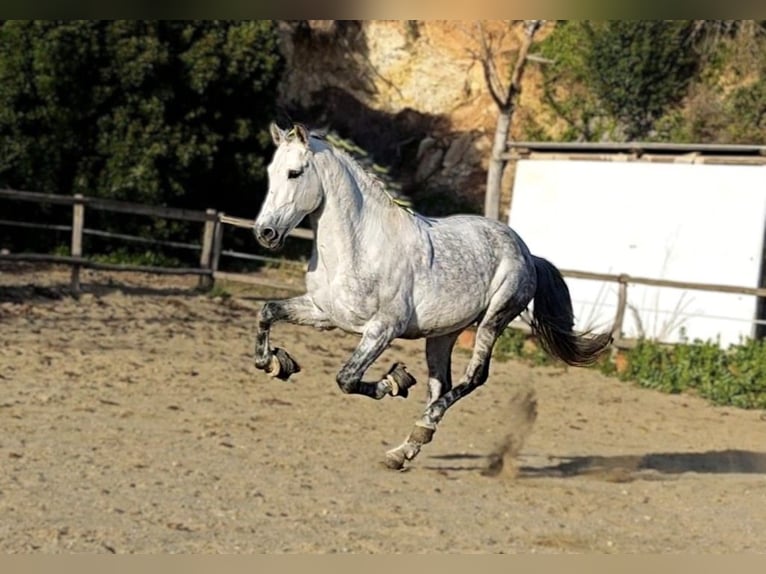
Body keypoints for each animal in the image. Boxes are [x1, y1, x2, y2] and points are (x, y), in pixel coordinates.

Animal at [255, 124, 616, 470]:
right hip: (443, 333)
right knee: (440, 384)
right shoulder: (324, 314)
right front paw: (276, 363)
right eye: (271, 171)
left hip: (494, 319)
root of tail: (526, 251)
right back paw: (405, 449)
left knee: (474, 377)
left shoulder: (383, 329)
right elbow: (267, 311)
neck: (358, 246)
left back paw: (417, 426)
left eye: (295, 173)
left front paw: (395, 381)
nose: (265, 233)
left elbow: (347, 378)